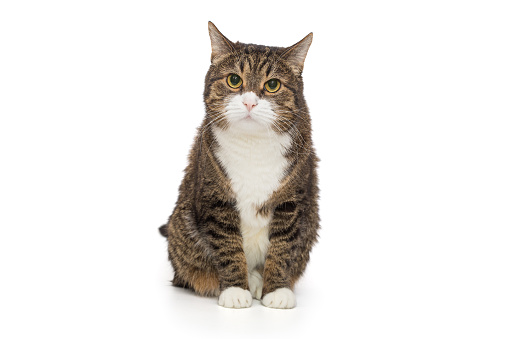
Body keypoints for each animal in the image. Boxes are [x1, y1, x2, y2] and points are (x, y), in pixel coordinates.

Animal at [159, 22, 320, 310]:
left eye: (273, 84)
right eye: (234, 80)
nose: (249, 102)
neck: (253, 146)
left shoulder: (292, 202)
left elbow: (283, 247)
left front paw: (276, 290)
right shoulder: (216, 198)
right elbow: (227, 246)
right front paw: (235, 289)